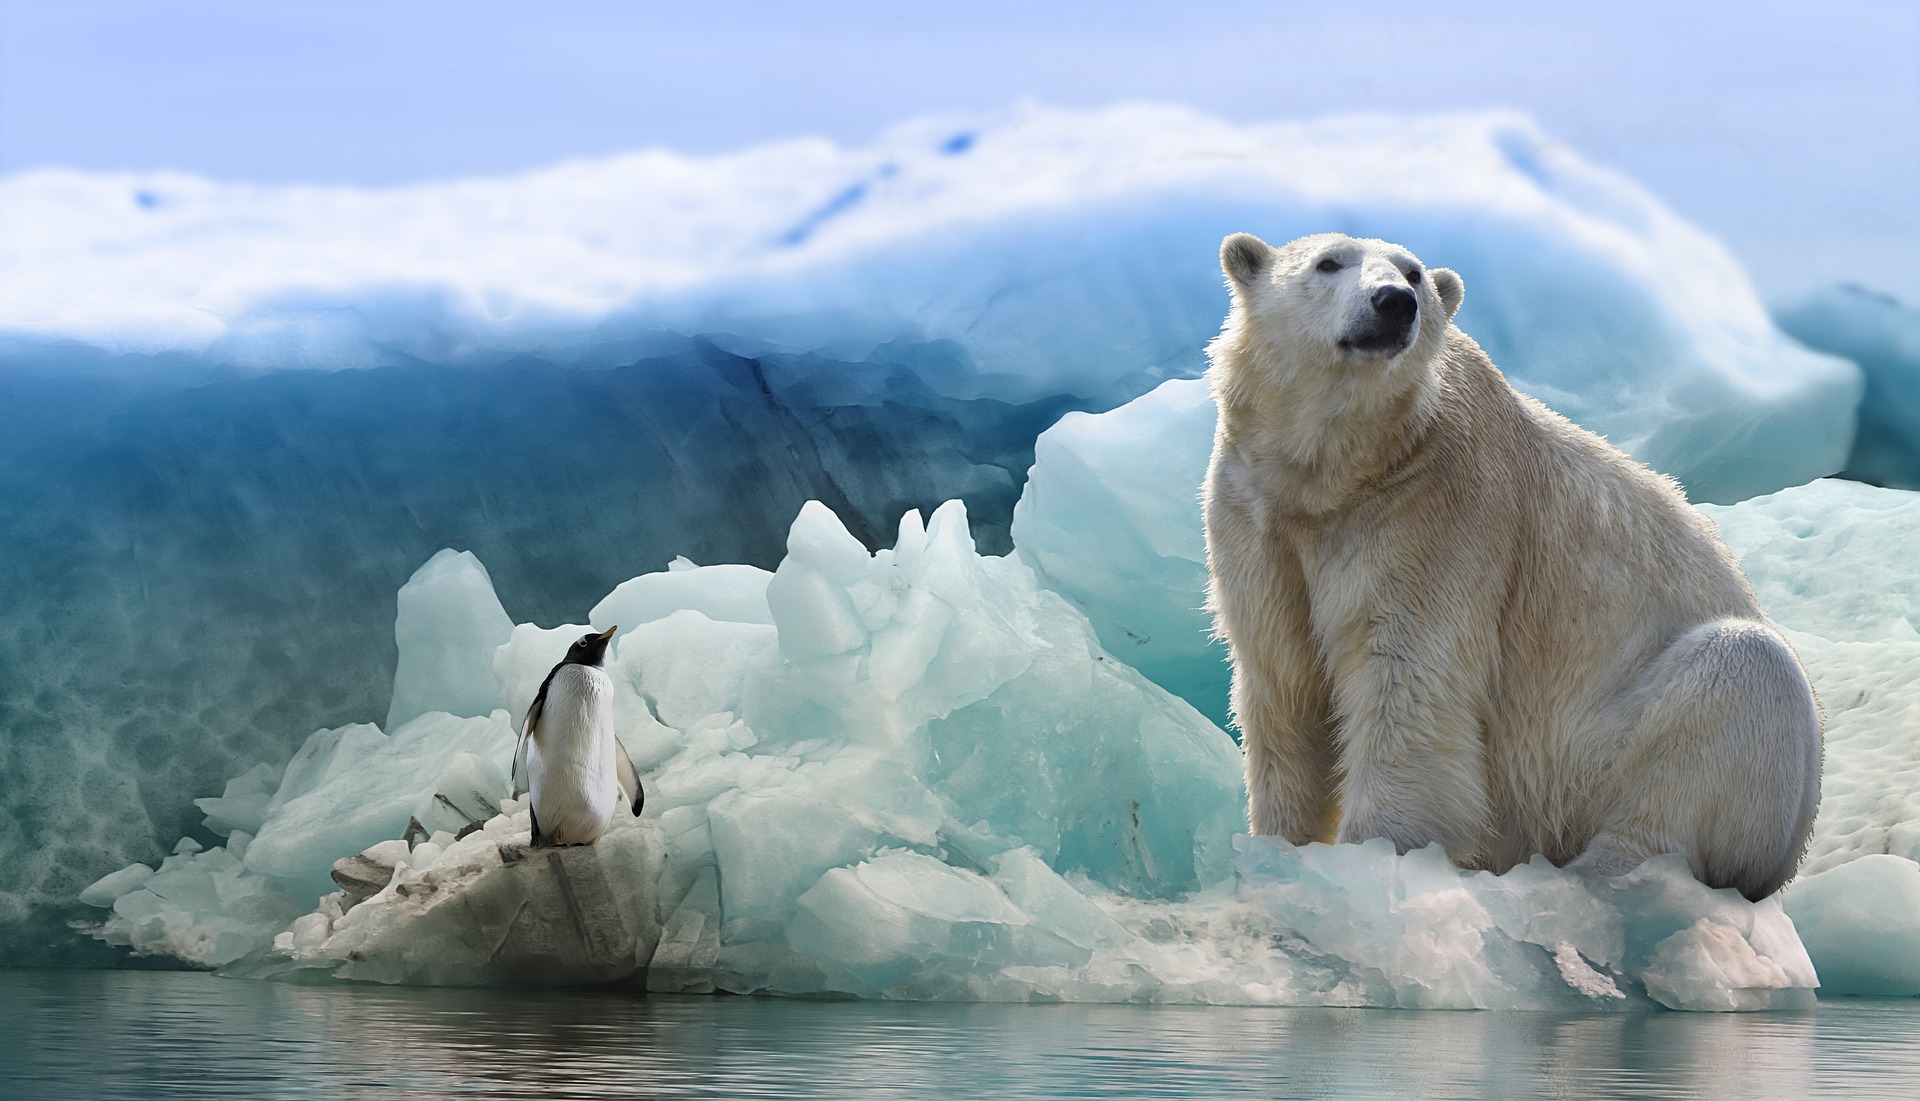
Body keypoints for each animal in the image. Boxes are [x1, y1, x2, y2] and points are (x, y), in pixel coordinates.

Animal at [1205, 234, 1820, 903]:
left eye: (1414, 274)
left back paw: (1599, 874)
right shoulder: (1257, 516)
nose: (1393, 303)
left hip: (1606, 753)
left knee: (1736, 680)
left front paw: (1375, 857)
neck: (1341, 472)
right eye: (1328, 263)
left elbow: (1406, 684)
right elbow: (1283, 683)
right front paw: (1278, 849)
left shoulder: (1434, 511)